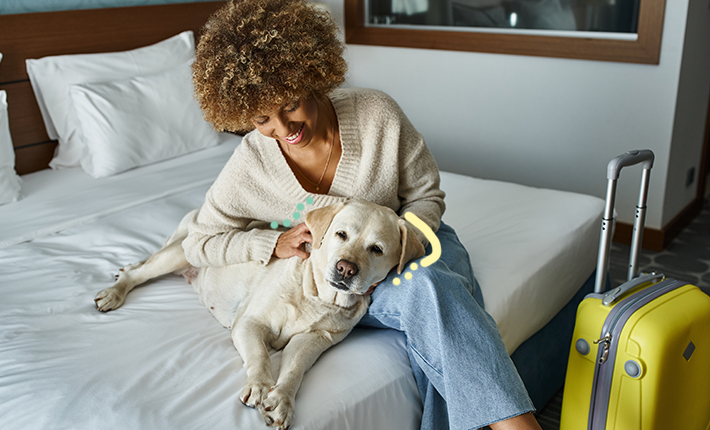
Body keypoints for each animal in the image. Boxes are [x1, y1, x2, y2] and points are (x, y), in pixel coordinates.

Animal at [97, 200, 426, 428]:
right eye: (341, 235)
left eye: (377, 249)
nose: (345, 268)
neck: (318, 295)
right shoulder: (249, 323)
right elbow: (260, 355)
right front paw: (258, 385)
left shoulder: (311, 341)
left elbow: (293, 371)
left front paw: (281, 401)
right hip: (179, 253)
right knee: (140, 272)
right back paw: (114, 292)